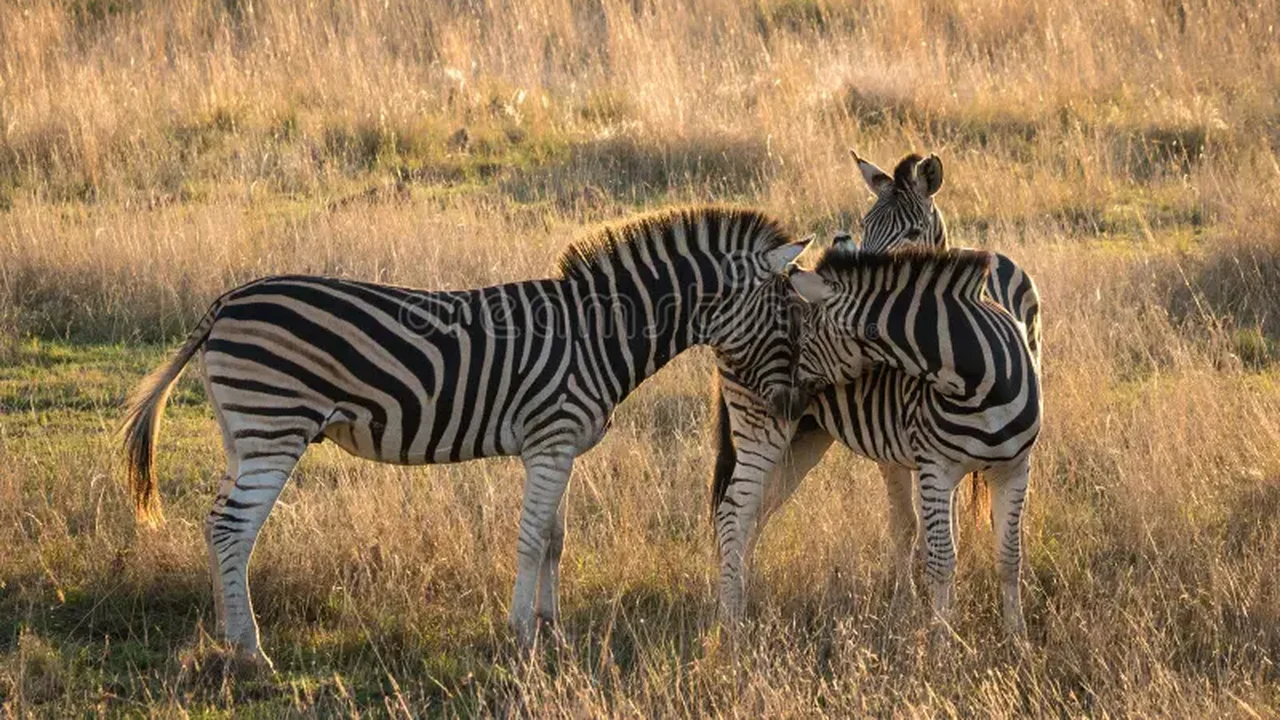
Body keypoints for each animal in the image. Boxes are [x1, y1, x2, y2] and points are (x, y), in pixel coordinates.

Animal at [121, 206, 812, 667]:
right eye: (788, 318)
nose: (790, 406)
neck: (600, 333)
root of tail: (227, 302)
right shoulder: (550, 440)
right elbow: (532, 540)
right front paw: (521, 636)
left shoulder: (560, 448)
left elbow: (556, 539)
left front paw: (553, 630)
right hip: (273, 428)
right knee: (234, 528)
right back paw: (251, 650)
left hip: (243, 435)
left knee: (216, 523)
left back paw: (225, 631)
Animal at [779, 246, 1042, 637]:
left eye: (807, 336)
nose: (789, 400)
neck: (979, 382)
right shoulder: (937, 468)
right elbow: (941, 559)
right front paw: (942, 638)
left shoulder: (1014, 468)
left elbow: (1009, 557)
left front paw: (1017, 638)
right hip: (900, 456)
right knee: (905, 530)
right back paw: (906, 604)